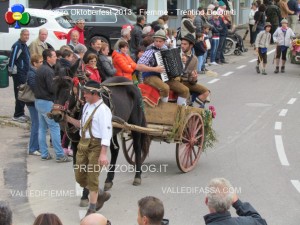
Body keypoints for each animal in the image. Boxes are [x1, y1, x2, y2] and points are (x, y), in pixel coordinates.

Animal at [49, 60, 149, 191]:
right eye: (53, 87)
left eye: (67, 88)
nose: (56, 115)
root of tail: (132, 84)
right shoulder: (76, 142)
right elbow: (78, 166)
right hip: (112, 129)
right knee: (115, 150)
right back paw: (109, 180)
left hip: (135, 124)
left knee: (137, 147)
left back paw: (137, 175)